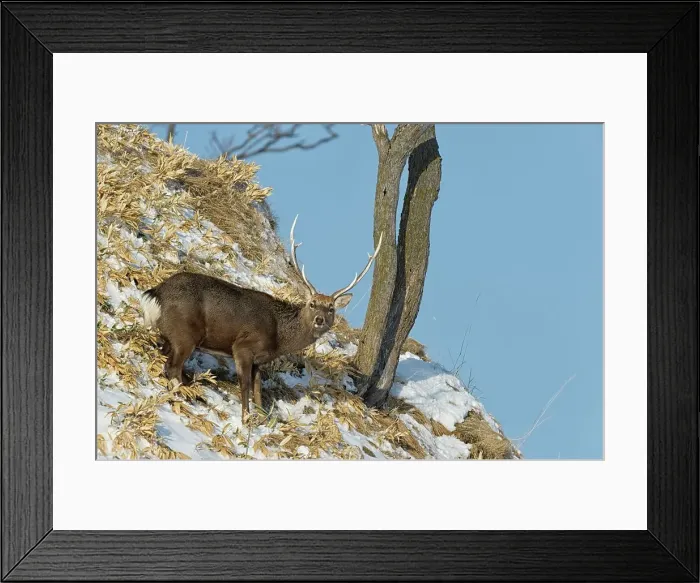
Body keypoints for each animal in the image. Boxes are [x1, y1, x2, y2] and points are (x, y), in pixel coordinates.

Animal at [140, 215, 382, 421]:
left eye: (331, 308)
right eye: (312, 304)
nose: (319, 320)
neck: (279, 336)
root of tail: (156, 293)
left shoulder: (260, 361)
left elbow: (258, 391)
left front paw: (261, 419)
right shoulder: (243, 347)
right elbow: (245, 386)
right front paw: (246, 420)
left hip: (172, 335)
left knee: (166, 360)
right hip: (185, 334)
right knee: (172, 368)